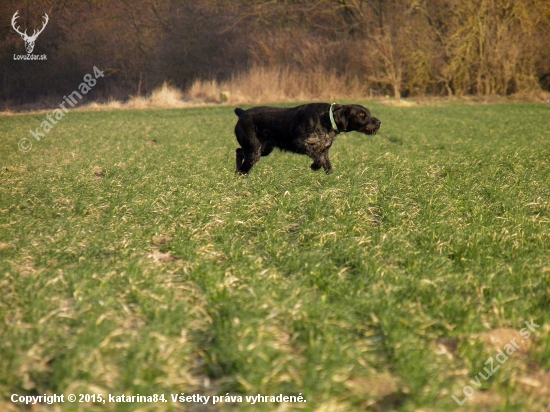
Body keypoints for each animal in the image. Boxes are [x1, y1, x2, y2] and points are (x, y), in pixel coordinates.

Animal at [235, 104, 382, 175]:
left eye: (368, 112)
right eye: (361, 114)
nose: (379, 122)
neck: (328, 118)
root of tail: (242, 112)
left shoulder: (324, 150)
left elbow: (327, 165)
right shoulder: (301, 143)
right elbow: (318, 159)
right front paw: (314, 167)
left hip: (263, 149)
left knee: (239, 151)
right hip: (255, 151)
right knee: (244, 167)